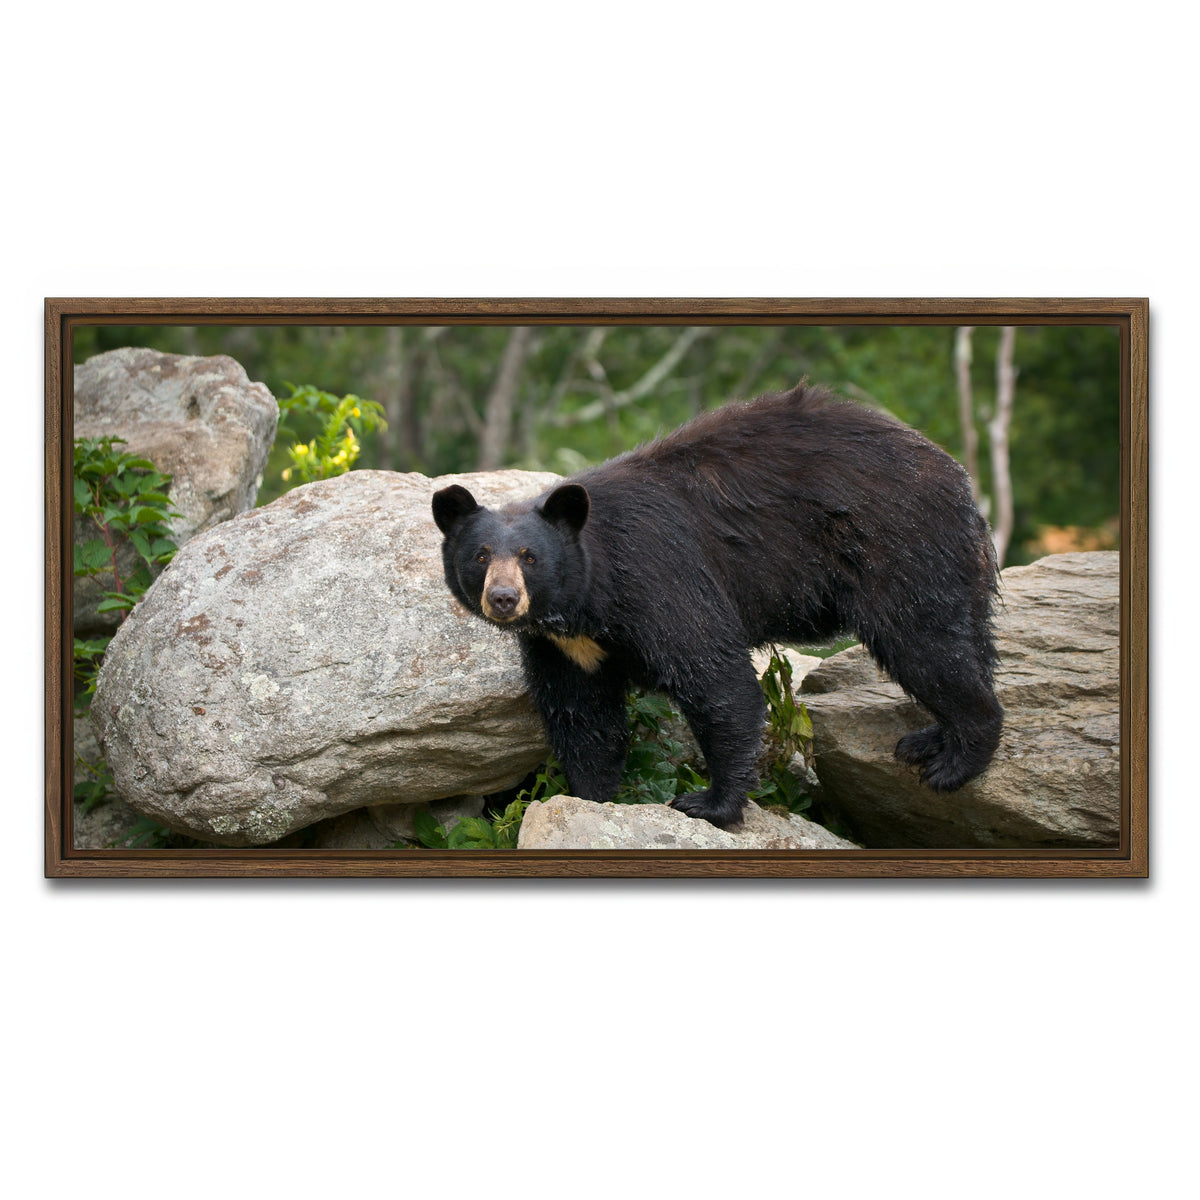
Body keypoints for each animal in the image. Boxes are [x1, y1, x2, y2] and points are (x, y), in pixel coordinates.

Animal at [432, 381, 1002, 830]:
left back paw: (955, 760)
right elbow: (582, 716)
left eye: (529, 557)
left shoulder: (658, 577)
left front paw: (709, 803)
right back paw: (930, 740)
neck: (587, 601)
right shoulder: (563, 646)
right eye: (481, 555)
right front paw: (591, 796)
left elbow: (715, 680)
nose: (503, 598)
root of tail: (957, 477)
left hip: (898, 547)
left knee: (924, 644)